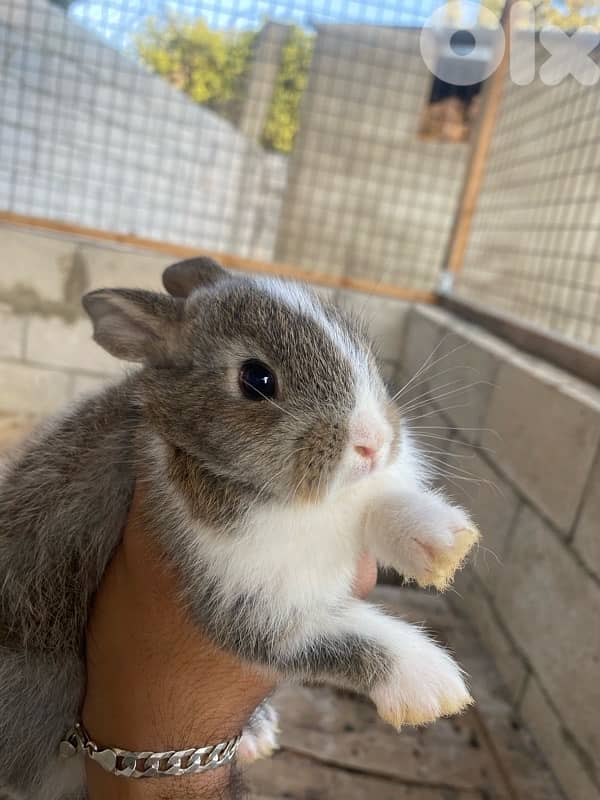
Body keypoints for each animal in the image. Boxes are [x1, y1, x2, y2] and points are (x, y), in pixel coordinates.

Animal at [0, 257, 479, 800]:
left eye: (361, 344)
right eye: (257, 379)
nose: (372, 444)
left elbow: (376, 505)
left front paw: (443, 543)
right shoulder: (249, 608)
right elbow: (346, 639)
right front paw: (435, 688)